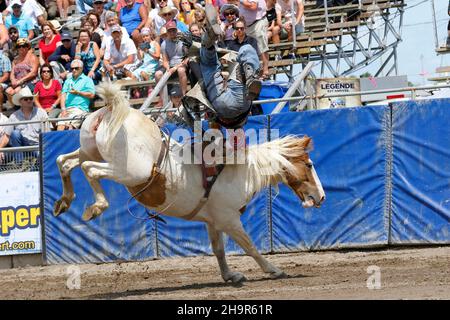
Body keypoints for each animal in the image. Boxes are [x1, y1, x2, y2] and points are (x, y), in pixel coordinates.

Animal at [54, 82, 326, 282]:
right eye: (310, 165)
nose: (321, 197)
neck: (243, 171)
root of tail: (112, 109)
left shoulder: (213, 221)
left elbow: (218, 249)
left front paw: (230, 275)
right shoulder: (229, 219)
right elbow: (248, 246)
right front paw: (273, 269)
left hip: (90, 149)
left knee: (64, 161)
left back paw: (64, 201)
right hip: (130, 171)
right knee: (90, 170)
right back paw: (96, 207)